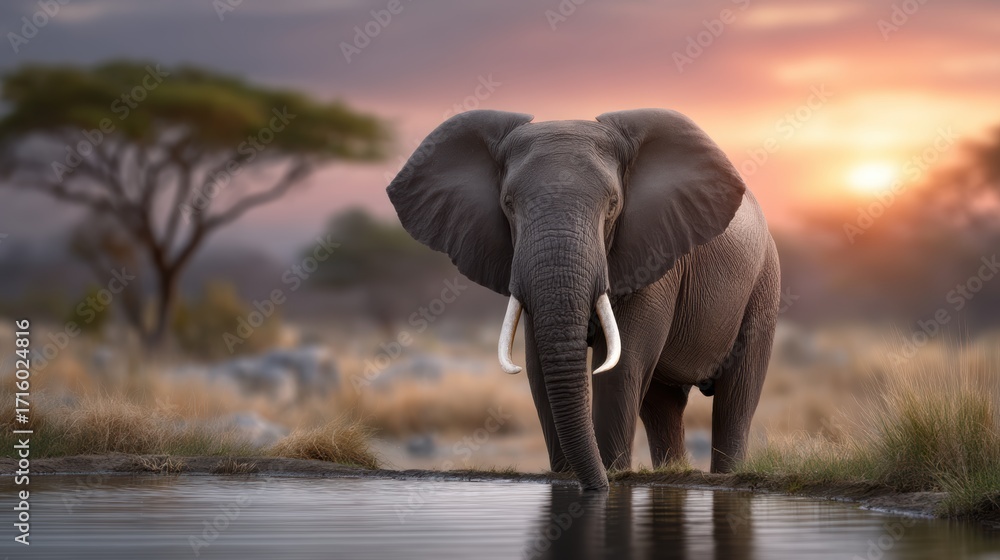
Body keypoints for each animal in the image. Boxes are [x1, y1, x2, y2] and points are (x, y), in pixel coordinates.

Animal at [386, 109, 780, 490]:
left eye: (613, 205)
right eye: (508, 204)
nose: (597, 487)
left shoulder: (654, 255)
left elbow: (620, 364)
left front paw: (612, 477)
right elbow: (539, 367)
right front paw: (569, 478)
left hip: (763, 284)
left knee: (736, 397)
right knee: (663, 403)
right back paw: (674, 470)